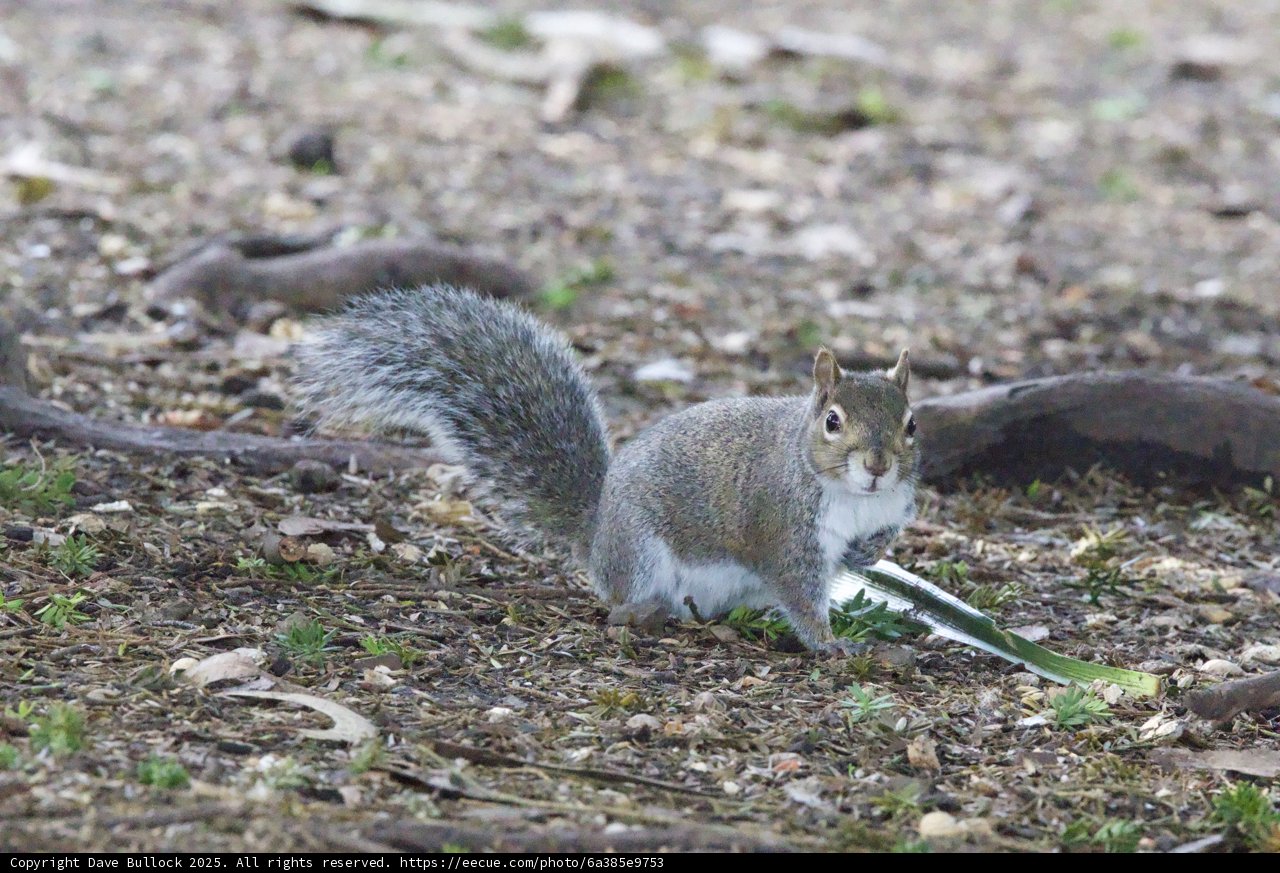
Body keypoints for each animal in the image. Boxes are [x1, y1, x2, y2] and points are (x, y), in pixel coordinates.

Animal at [293, 285, 919, 653]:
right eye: (833, 422)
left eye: (911, 424)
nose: (877, 464)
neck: (853, 496)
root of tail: (595, 534)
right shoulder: (784, 529)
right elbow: (799, 592)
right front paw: (831, 644)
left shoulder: (891, 507)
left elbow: (875, 543)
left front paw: (866, 555)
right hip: (638, 551)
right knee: (618, 605)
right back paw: (643, 613)